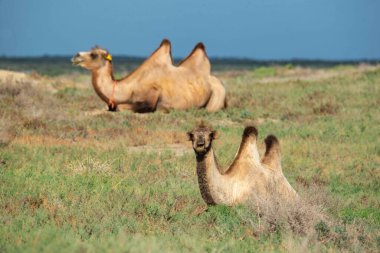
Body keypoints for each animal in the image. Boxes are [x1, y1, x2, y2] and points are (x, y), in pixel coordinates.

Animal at [71, 39, 226, 112]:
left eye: (93, 54)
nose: (75, 56)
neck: (129, 89)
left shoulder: (151, 96)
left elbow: (122, 107)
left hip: (216, 99)